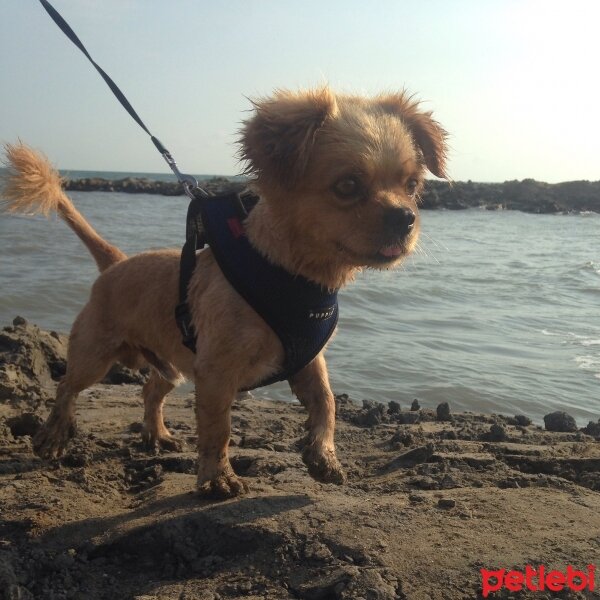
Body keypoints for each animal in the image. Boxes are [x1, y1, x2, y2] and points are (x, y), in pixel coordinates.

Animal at [2, 88, 448, 496]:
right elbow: (218, 428)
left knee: (151, 389)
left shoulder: (309, 359)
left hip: (173, 365)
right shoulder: (216, 372)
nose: (405, 217)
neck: (295, 277)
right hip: (95, 355)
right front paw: (217, 478)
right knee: (66, 388)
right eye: (348, 185)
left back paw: (156, 434)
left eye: (412, 185)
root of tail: (116, 262)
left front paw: (323, 457)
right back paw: (54, 435)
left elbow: (327, 402)